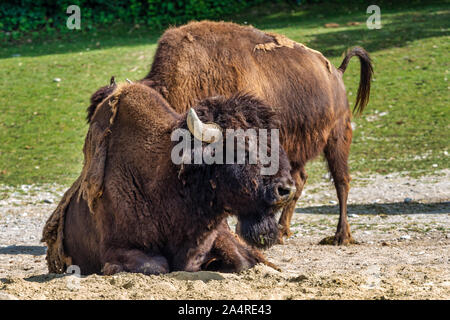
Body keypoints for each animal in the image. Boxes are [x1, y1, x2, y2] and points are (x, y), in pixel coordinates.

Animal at [87, 20, 372, 245]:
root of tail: (335, 72)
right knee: (300, 180)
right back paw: (282, 231)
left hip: (337, 138)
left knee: (342, 181)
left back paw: (341, 236)